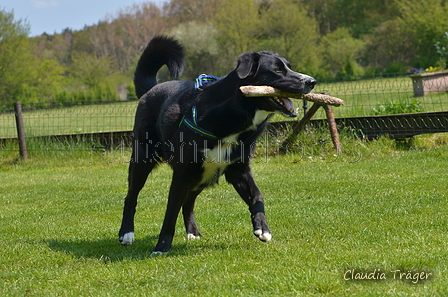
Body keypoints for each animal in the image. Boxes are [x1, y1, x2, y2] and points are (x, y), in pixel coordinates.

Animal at [117, 35, 316, 252]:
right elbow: (171, 210)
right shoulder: (182, 173)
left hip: (204, 175)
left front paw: (262, 228)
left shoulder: (239, 170)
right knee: (131, 197)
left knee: (188, 201)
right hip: (143, 161)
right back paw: (126, 233)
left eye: (289, 67)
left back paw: (193, 232)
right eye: (277, 70)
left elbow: (257, 196)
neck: (234, 114)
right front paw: (162, 245)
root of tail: (151, 89)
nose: (312, 81)